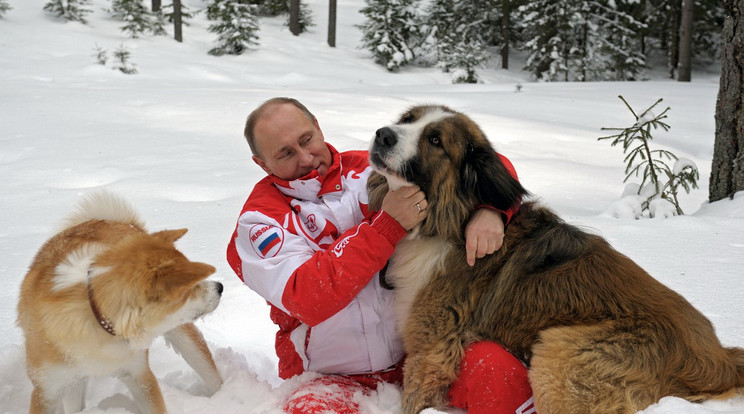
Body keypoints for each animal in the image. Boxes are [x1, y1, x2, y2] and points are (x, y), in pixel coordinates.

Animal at [16, 192, 221, 414]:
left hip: (186, 340)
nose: (220, 287)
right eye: (192, 285)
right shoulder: (46, 391)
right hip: (72, 383)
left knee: (212, 375)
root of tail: (116, 221)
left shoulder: (140, 374)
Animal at [368, 106, 744, 414]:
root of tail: (719, 358)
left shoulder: (430, 350)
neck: (449, 221)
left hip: (560, 354)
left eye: (435, 140)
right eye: (407, 120)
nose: (382, 134)